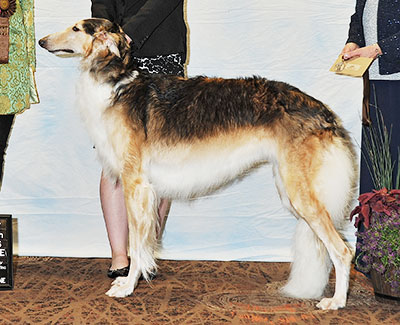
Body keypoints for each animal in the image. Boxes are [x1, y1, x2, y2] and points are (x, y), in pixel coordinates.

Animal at [39, 17, 358, 308]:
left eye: (76, 28)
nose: (42, 41)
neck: (117, 85)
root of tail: (324, 112)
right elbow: (144, 245)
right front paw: (136, 276)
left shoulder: (135, 183)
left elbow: (136, 245)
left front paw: (128, 286)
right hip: (291, 190)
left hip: (301, 194)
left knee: (343, 251)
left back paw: (336, 302)